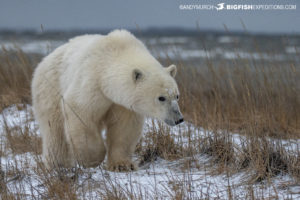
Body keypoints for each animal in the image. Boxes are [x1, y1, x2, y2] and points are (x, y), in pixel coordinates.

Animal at [31, 29, 184, 170]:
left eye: (177, 95)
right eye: (161, 98)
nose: (178, 118)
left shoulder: (124, 103)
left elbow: (125, 128)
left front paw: (122, 165)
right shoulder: (92, 82)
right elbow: (80, 112)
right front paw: (92, 158)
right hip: (50, 88)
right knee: (54, 130)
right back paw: (58, 164)